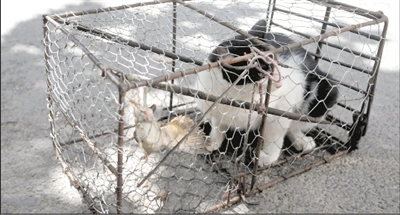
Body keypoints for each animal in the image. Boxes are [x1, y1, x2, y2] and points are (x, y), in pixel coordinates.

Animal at [195, 19, 340, 167]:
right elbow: (218, 125)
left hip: (326, 94)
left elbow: (275, 137)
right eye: (260, 73)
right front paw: (212, 142)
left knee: (295, 125)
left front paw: (267, 157)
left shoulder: (280, 110)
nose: (279, 82)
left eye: (274, 63)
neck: (238, 95)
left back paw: (301, 140)